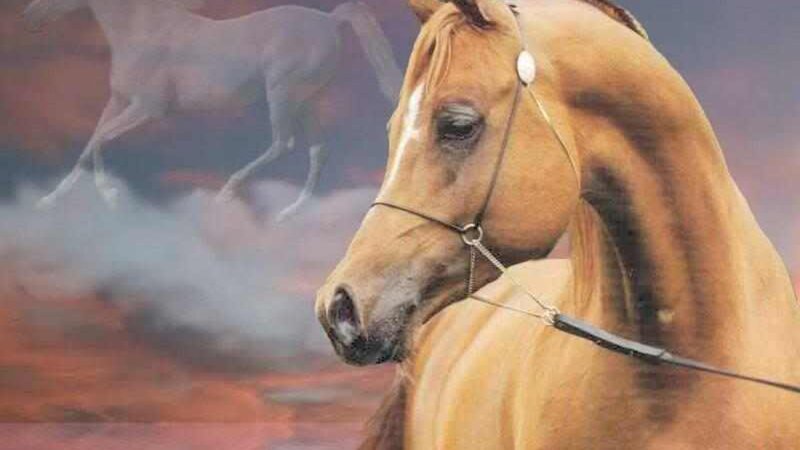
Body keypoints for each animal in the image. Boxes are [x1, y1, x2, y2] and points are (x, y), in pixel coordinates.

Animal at [24, 0, 401, 220]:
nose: (29, 14)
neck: (143, 31)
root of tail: (329, 20)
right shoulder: (117, 101)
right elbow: (91, 142)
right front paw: (49, 200)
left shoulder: (149, 108)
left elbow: (101, 140)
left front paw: (111, 196)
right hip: (307, 100)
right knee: (318, 151)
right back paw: (288, 213)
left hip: (283, 93)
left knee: (285, 143)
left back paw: (226, 194)